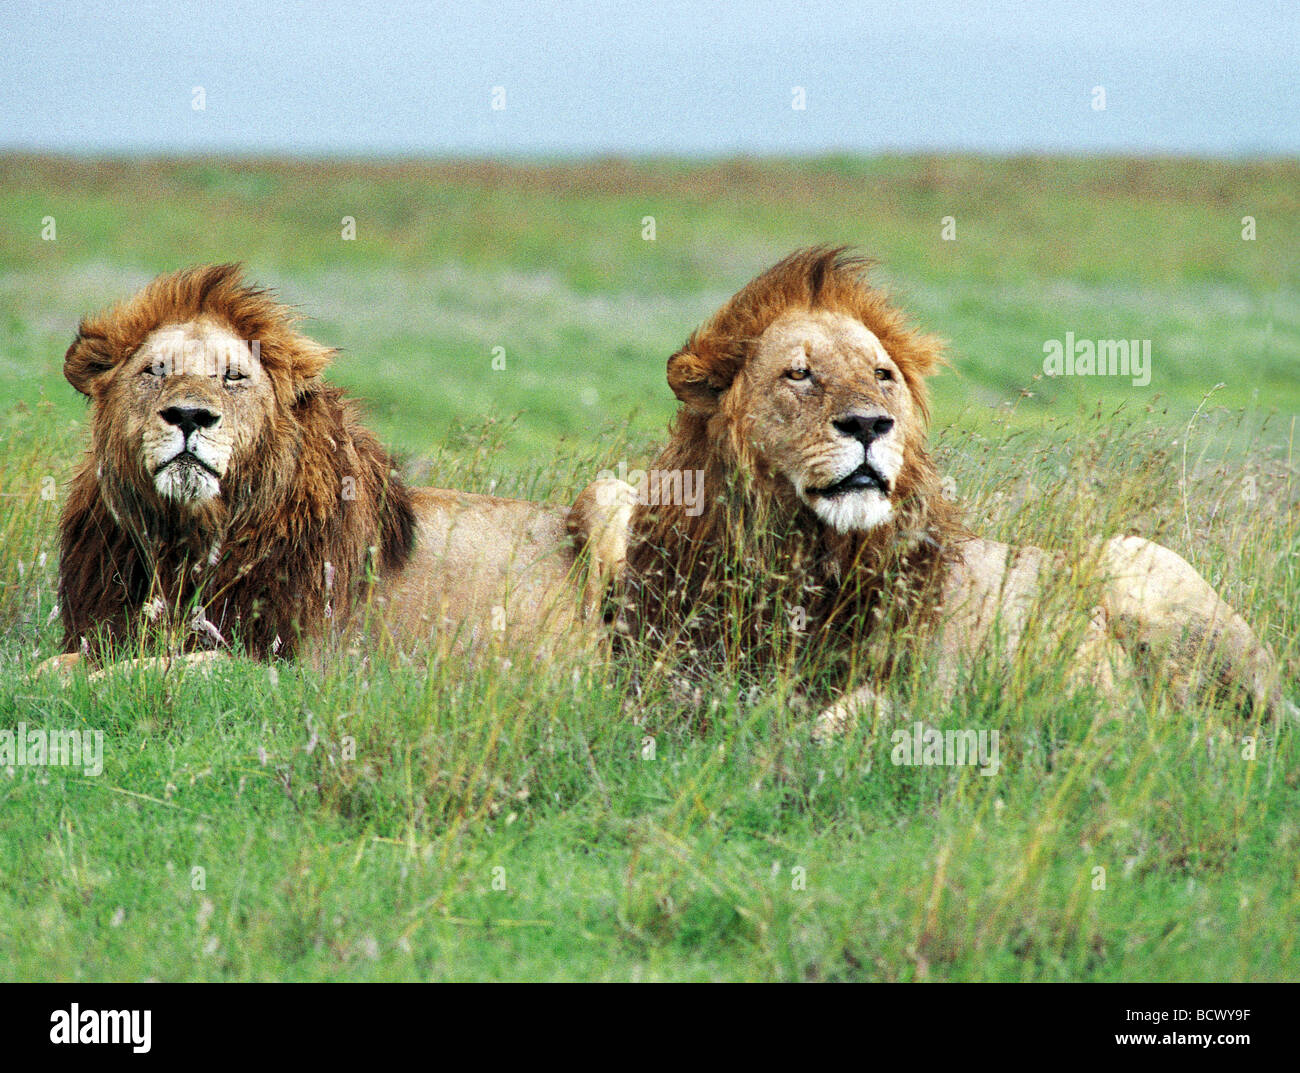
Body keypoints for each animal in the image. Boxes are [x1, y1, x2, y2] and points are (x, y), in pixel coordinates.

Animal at [43, 262, 626, 676]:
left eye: (233, 376)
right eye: (154, 371)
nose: (189, 416)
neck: (185, 537)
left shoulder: (285, 661)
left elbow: (148, 670)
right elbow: (54, 666)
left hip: (610, 494)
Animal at [611, 249, 1300, 738]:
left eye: (882, 376)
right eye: (799, 374)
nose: (869, 425)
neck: (804, 552)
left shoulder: (933, 683)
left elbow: (848, 719)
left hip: (1141, 564)